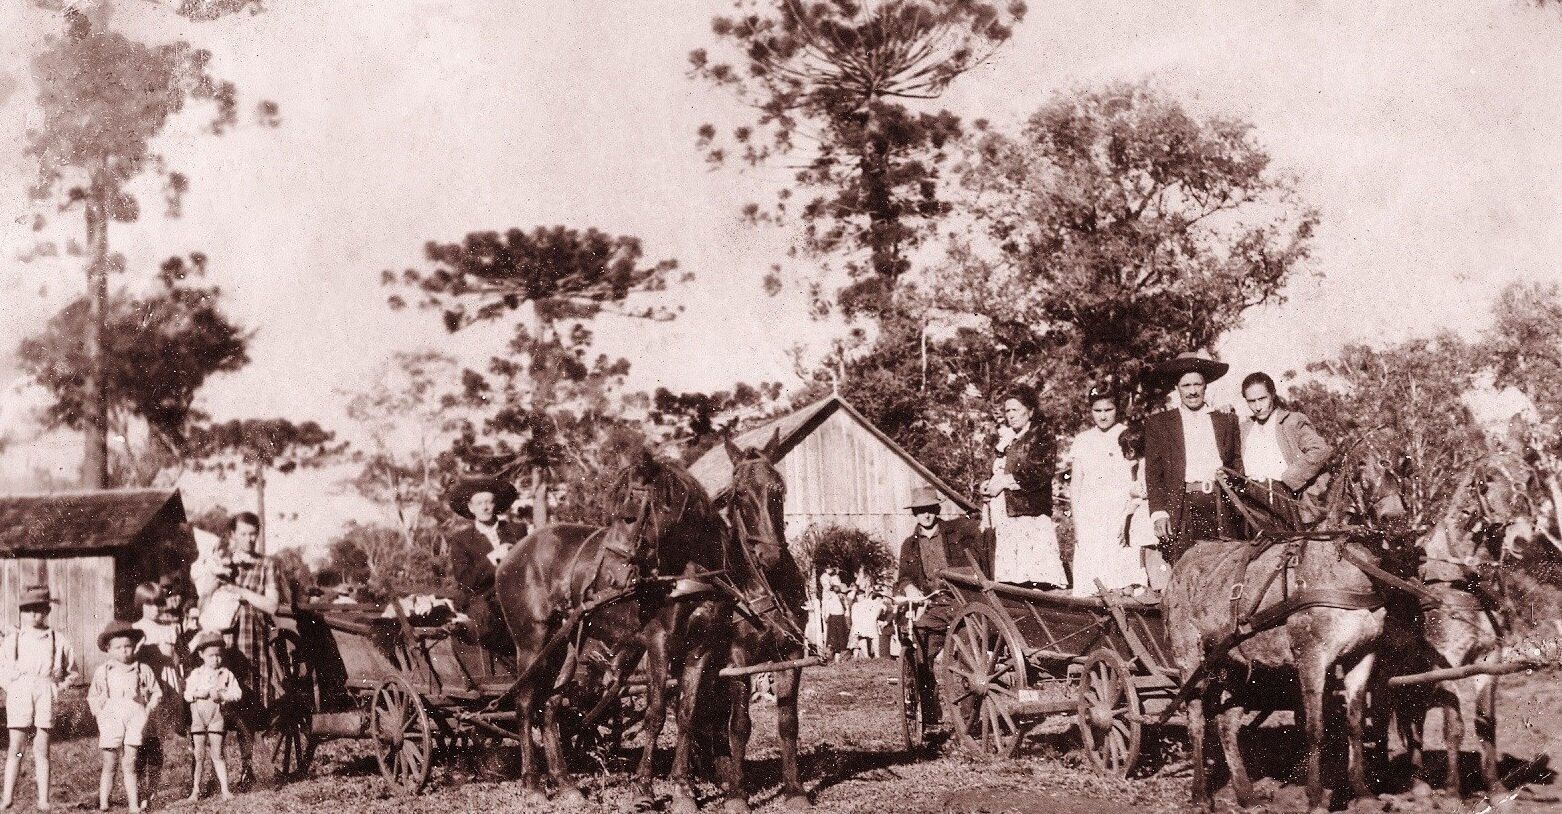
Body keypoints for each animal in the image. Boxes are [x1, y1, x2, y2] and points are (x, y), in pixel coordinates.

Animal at [499, 446, 737, 806]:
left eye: (628, 517)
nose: (610, 578)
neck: (687, 579)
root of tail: (513, 556)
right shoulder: (659, 643)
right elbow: (656, 714)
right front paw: (644, 786)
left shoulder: (701, 648)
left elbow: (686, 714)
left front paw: (682, 787)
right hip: (532, 643)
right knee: (526, 705)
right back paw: (533, 784)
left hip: (567, 646)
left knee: (551, 707)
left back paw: (565, 783)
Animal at [699, 434, 818, 806]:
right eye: (739, 494)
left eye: (778, 489)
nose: (771, 556)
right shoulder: (736, 661)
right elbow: (740, 725)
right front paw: (737, 794)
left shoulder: (791, 655)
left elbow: (788, 721)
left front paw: (794, 789)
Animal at [1168, 471, 1387, 806]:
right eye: (1364, 469)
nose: (1394, 516)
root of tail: (1185, 558)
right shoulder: (1311, 658)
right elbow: (1314, 728)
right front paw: (1315, 796)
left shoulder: (1363, 654)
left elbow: (1354, 725)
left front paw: (1362, 792)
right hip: (1191, 660)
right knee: (1196, 723)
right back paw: (1201, 794)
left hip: (1235, 664)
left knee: (1226, 725)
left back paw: (1246, 794)